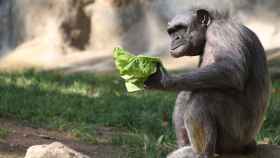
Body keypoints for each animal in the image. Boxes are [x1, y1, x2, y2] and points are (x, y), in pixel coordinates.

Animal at [143, 7, 270, 158]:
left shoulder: (222, 32)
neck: (208, 31)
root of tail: (249, 144)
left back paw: (200, 153)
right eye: (171, 32)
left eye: (181, 28)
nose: (175, 38)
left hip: (235, 137)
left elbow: (232, 69)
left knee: (202, 99)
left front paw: (163, 79)